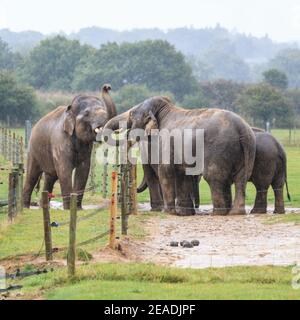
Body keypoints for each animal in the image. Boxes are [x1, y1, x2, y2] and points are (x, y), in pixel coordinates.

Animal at [103, 95, 255, 215]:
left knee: (214, 177)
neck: (163, 109)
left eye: (132, 113)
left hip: (218, 149)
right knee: (240, 178)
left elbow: (165, 170)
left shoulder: (164, 140)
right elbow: (183, 174)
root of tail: (242, 128)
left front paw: (168, 212)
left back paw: (218, 213)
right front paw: (184, 213)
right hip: (244, 152)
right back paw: (236, 212)